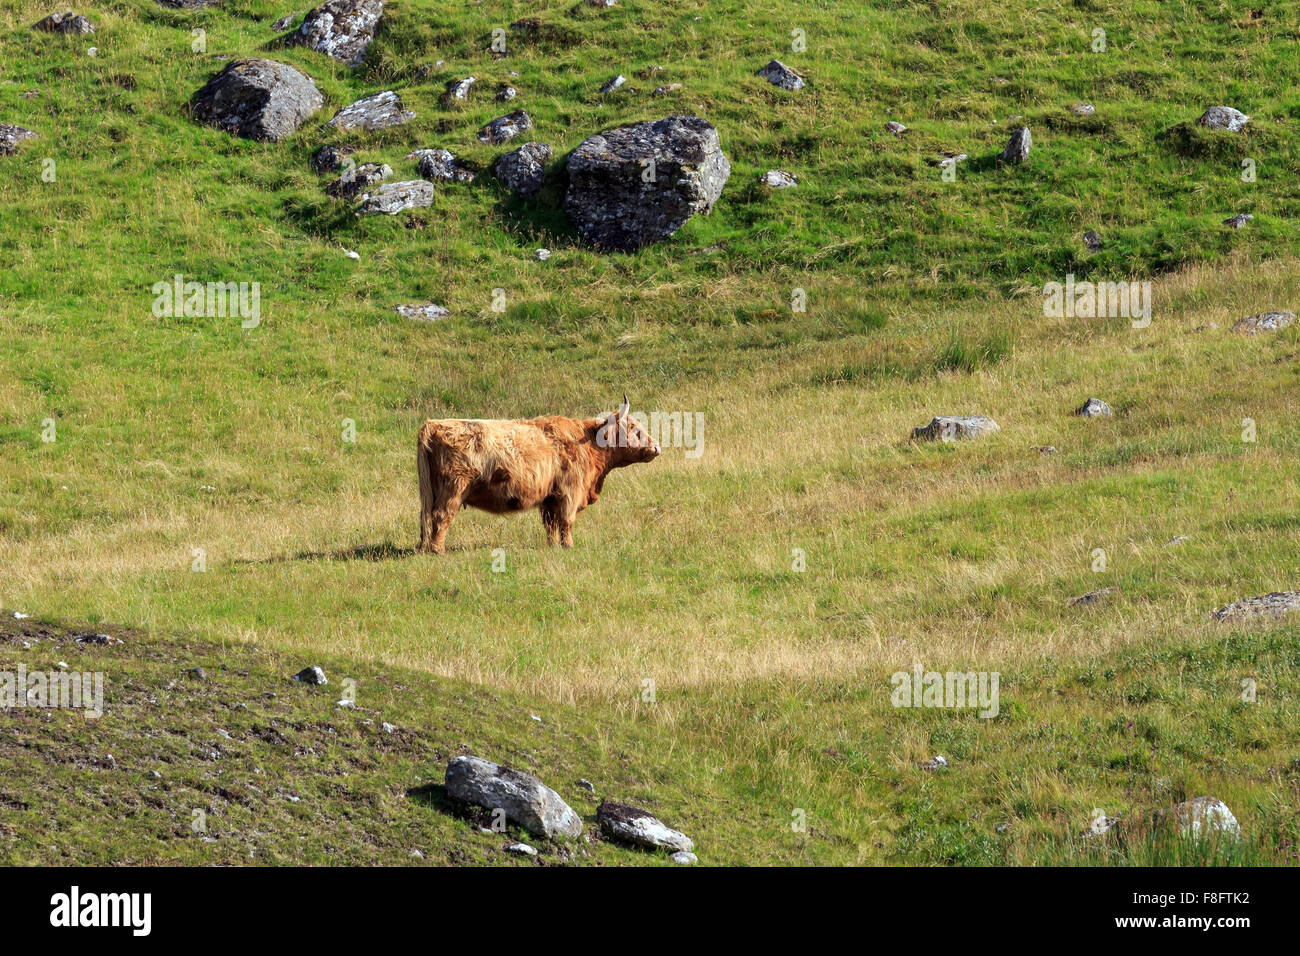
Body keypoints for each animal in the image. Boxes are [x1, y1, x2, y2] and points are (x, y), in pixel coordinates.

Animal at [416, 396, 661, 554]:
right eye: (635, 428)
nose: (657, 447)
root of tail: (433, 424)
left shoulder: (550, 497)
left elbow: (550, 523)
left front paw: (552, 546)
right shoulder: (570, 492)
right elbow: (566, 521)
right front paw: (568, 546)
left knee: (426, 517)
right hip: (453, 489)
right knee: (441, 516)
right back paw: (438, 550)